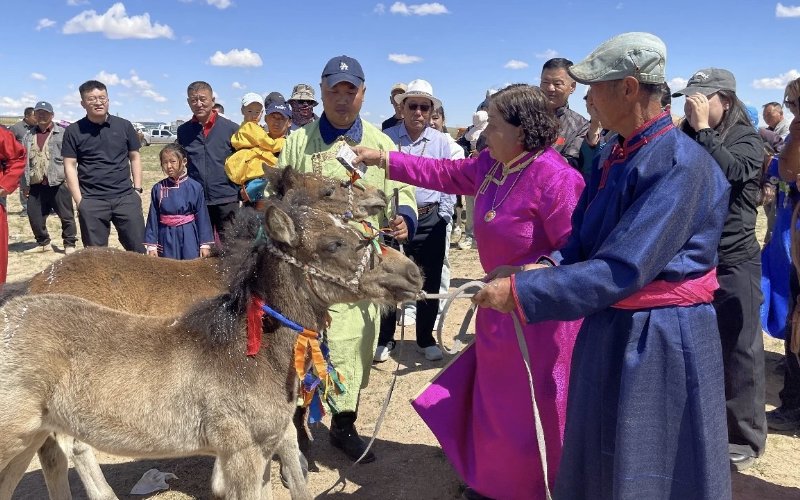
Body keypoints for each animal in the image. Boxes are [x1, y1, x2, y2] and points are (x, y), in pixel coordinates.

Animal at [0, 194, 422, 500]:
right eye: (334, 243)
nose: (413, 273)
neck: (249, 353)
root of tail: (34, 282)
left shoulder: (261, 447)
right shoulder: (242, 453)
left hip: (29, 439)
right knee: (73, 450)